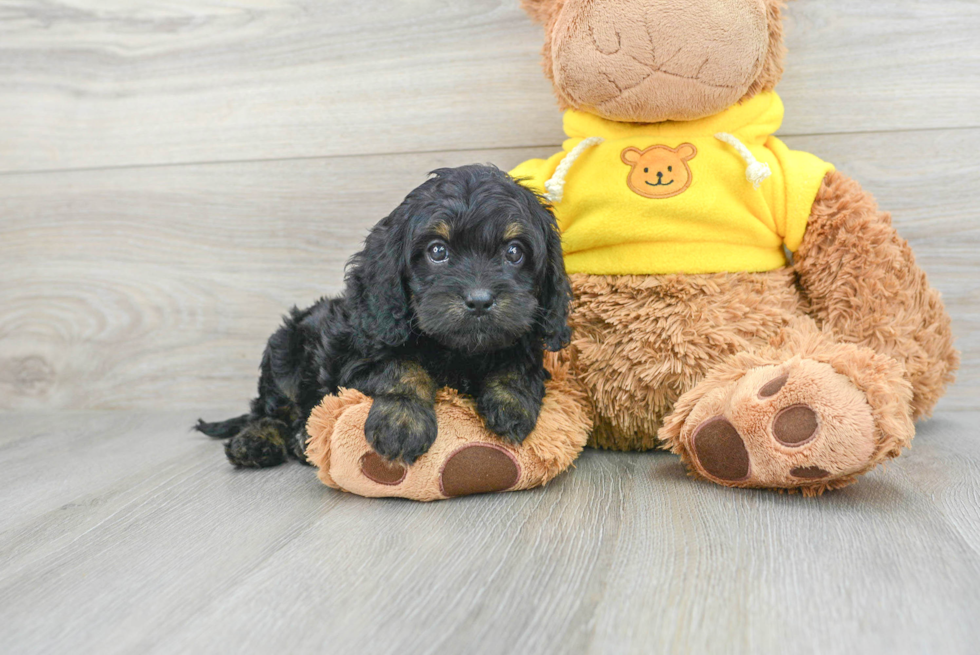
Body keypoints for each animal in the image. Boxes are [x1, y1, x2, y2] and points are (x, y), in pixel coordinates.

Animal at [195, 167, 572, 468]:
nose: (479, 301)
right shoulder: (353, 361)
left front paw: (511, 404)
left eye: (514, 252)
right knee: (271, 409)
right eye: (437, 251)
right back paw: (259, 440)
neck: (458, 352)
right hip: (284, 350)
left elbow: (518, 362)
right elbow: (402, 367)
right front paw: (401, 422)